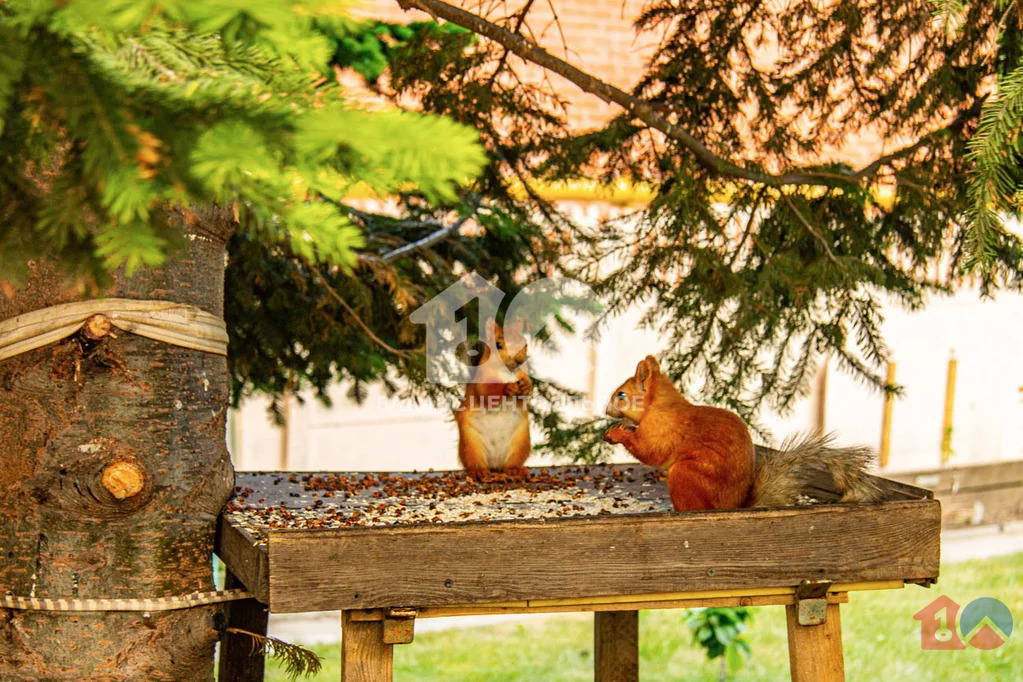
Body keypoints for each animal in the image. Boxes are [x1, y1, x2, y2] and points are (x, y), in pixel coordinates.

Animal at [458, 319, 536, 474]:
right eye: (498, 345)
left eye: (525, 344)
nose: (519, 360)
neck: (507, 373)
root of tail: (495, 464)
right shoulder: (483, 381)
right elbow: (488, 393)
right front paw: (508, 387)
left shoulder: (522, 373)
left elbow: (525, 388)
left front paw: (526, 387)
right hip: (470, 443)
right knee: (474, 461)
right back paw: (479, 471)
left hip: (521, 442)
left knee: (512, 463)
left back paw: (514, 470)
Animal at [601, 357, 883, 511]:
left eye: (621, 395)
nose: (606, 410)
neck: (659, 406)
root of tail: (733, 506)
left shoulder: (662, 429)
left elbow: (651, 451)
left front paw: (616, 434)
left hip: (684, 475)